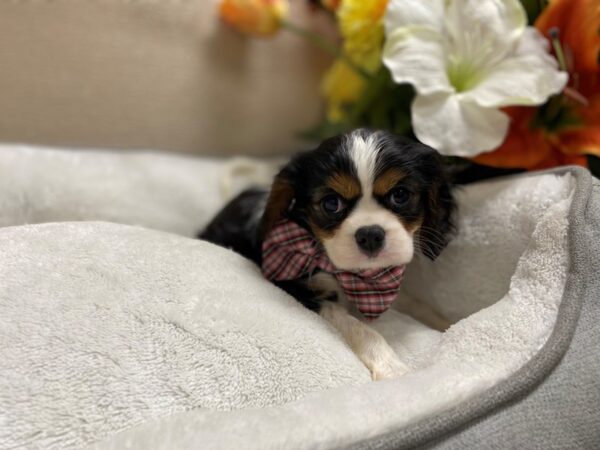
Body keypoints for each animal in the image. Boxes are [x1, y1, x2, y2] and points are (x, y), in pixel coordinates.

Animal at [199, 130, 452, 380]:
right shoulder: (298, 288)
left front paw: (445, 322)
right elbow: (357, 326)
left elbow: (412, 301)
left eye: (400, 195)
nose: (370, 234)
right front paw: (391, 367)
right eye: (332, 204)